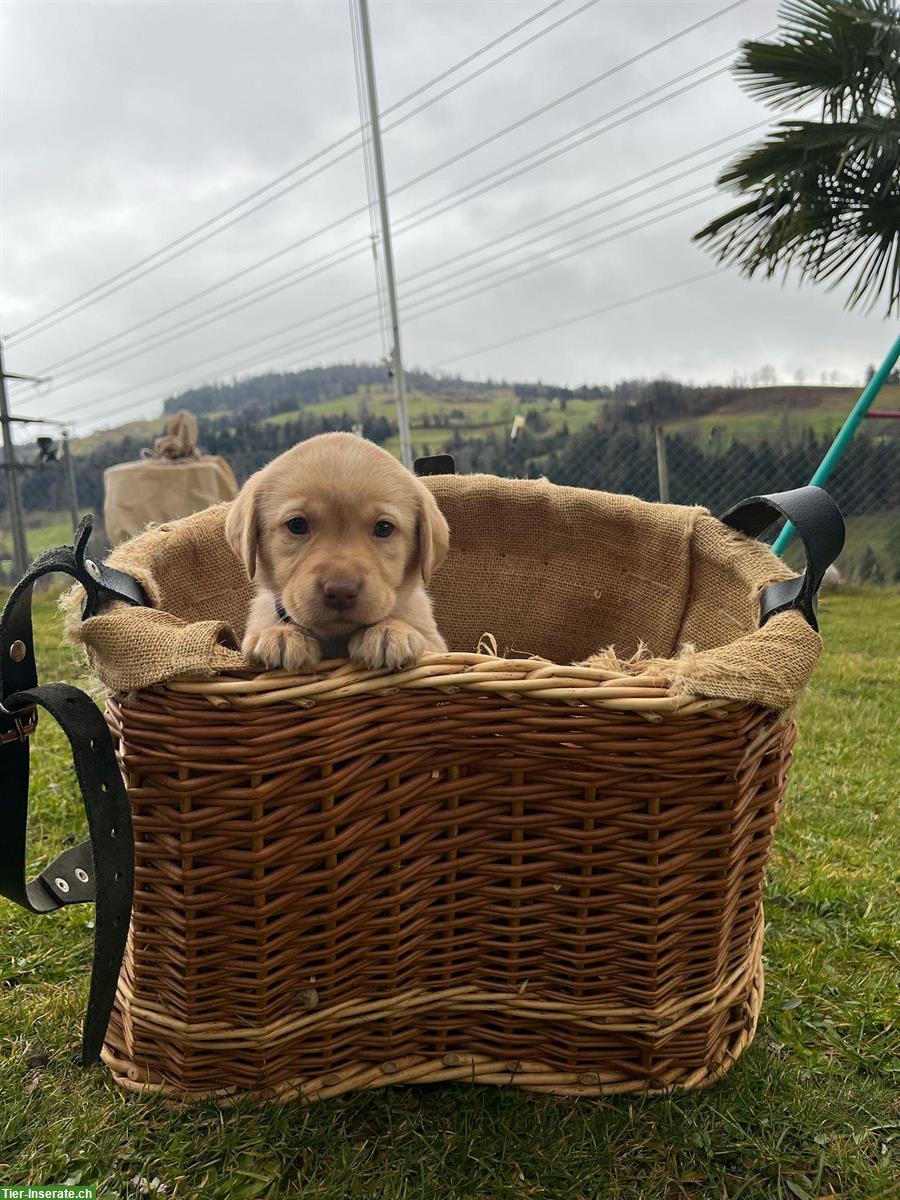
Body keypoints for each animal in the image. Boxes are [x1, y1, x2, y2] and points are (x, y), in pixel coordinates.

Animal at [225, 432, 451, 676]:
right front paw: (280, 633)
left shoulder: (437, 646)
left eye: (384, 528)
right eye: (297, 525)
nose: (340, 591)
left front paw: (389, 630)